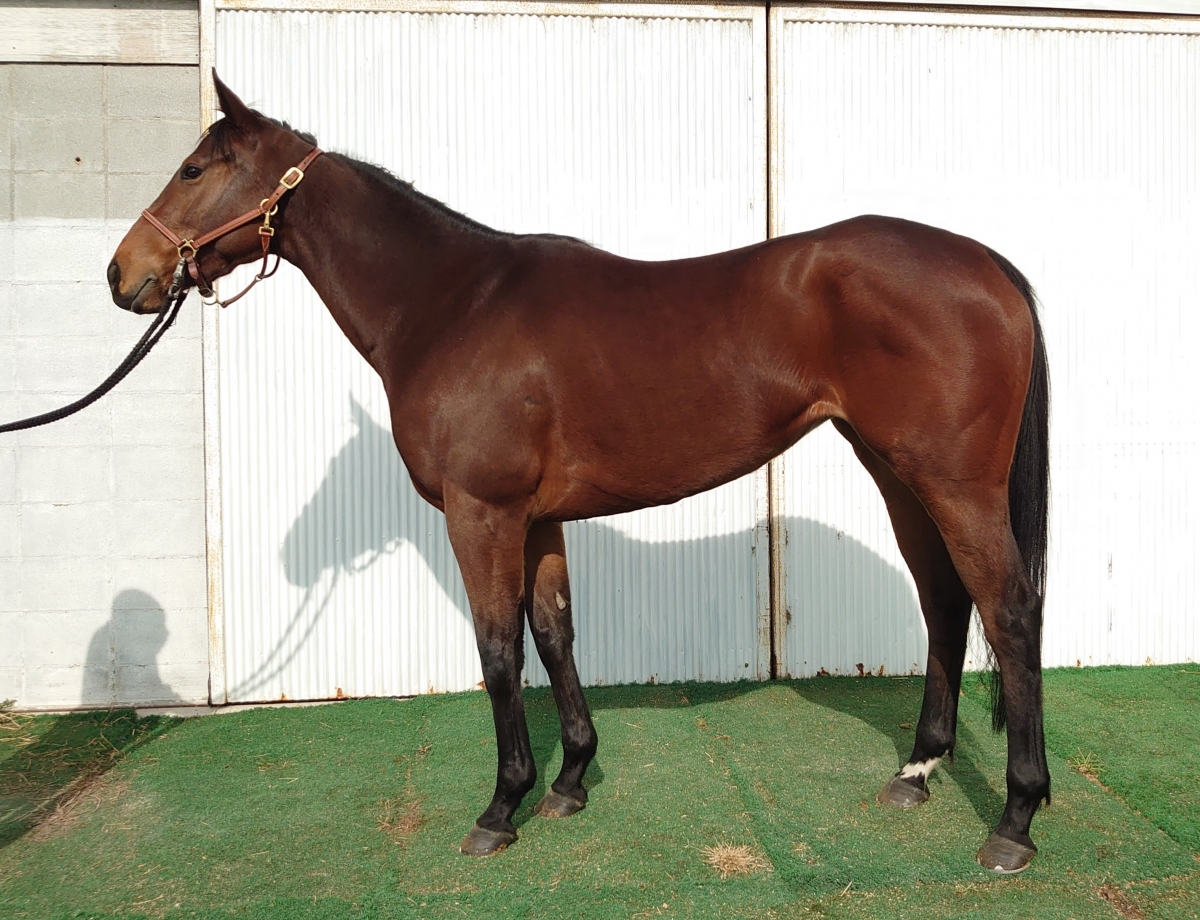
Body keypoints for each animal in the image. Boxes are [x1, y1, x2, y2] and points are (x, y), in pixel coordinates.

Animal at [109, 75, 1050, 874]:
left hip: (956, 485)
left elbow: (497, 650)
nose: (125, 274)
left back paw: (1014, 819)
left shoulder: (481, 513)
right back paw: (919, 770)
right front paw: (567, 783)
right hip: (897, 474)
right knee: (946, 602)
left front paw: (501, 807)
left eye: (194, 169)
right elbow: (556, 631)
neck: (453, 305)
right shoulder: (538, 519)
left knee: (1009, 611)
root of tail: (987, 264)